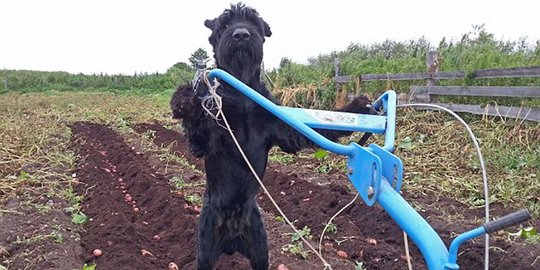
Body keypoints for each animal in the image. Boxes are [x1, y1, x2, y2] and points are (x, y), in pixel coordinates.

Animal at [171, 2, 374, 270]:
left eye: (254, 24)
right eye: (224, 24)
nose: (241, 35)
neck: (243, 93)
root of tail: (231, 242)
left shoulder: (285, 130)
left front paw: (359, 107)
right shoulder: (206, 140)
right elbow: (196, 126)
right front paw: (184, 99)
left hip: (260, 250)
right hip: (205, 250)